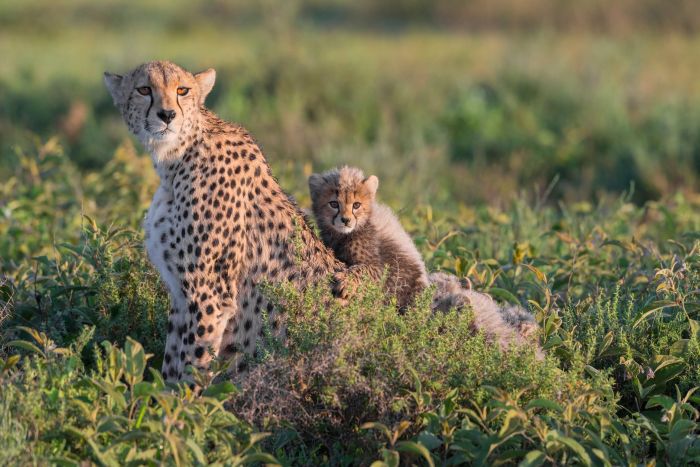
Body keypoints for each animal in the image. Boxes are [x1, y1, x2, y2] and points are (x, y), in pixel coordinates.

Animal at [105, 62, 344, 382]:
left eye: (182, 90)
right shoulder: (181, 296)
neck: (176, 157)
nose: (167, 115)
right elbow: (171, 365)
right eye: (144, 89)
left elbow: (192, 367)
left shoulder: (210, 296)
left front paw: (185, 396)